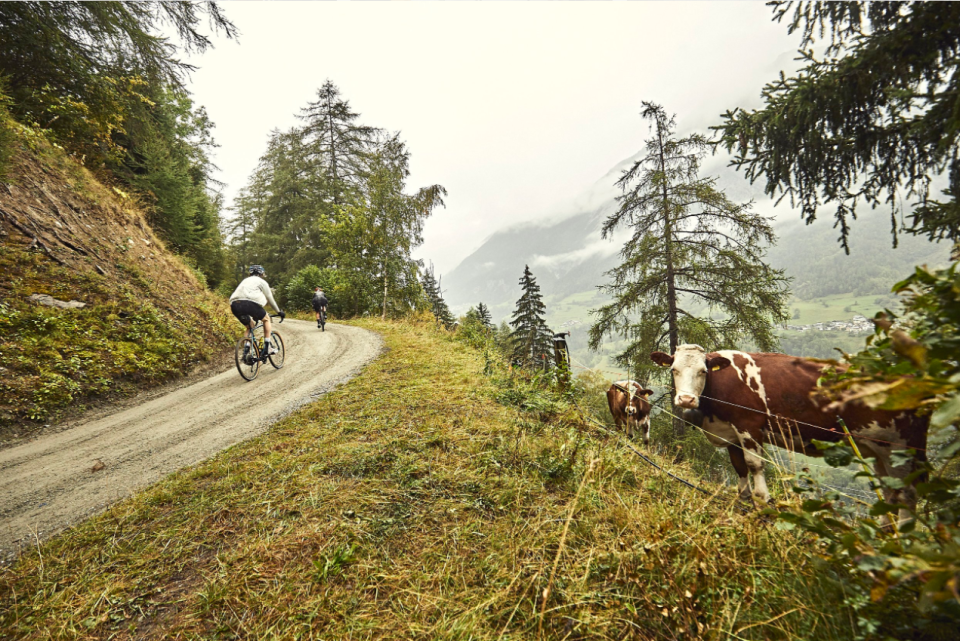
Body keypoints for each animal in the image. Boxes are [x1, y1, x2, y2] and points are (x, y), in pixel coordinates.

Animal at [648, 344, 928, 516]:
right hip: (880, 451)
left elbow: (754, 465)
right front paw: (744, 501)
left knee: (907, 495)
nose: (686, 400)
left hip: (900, 450)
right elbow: (739, 467)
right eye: (673, 369)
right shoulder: (730, 432)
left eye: (703, 371)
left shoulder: (748, 425)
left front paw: (764, 500)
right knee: (891, 493)